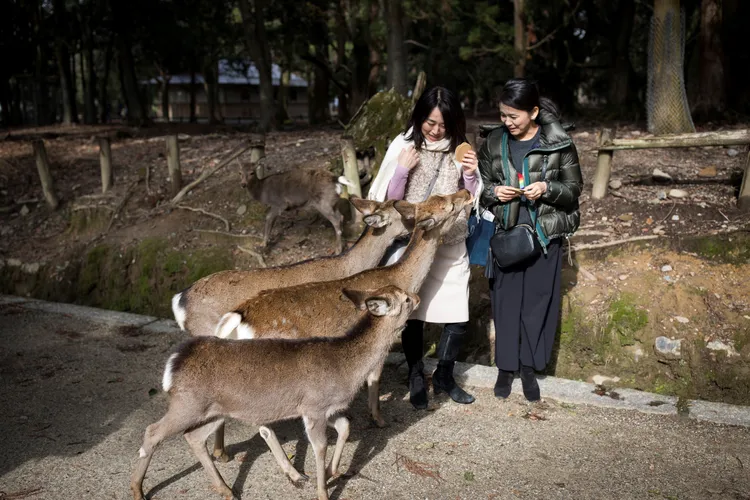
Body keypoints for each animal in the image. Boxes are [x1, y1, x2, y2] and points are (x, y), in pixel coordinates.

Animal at [131, 285, 419, 500]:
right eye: (405, 298)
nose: (417, 298)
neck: (347, 368)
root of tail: (174, 363)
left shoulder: (326, 409)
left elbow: (345, 426)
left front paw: (332, 471)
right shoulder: (313, 406)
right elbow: (320, 446)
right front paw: (322, 491)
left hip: (214, 411)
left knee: (193, 437)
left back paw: (227, 490)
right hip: (187, 404)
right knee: (152, 431)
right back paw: (137, 490)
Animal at [210, 190, 473, 480]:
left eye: (440, 197)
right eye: (448, 205)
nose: (466, 193)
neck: (401, 279)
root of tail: (238, 318)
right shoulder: (381, 339)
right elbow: (374, 378)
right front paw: (378, 419)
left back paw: (223, 454)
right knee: (263, 425)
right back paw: (294, 474)